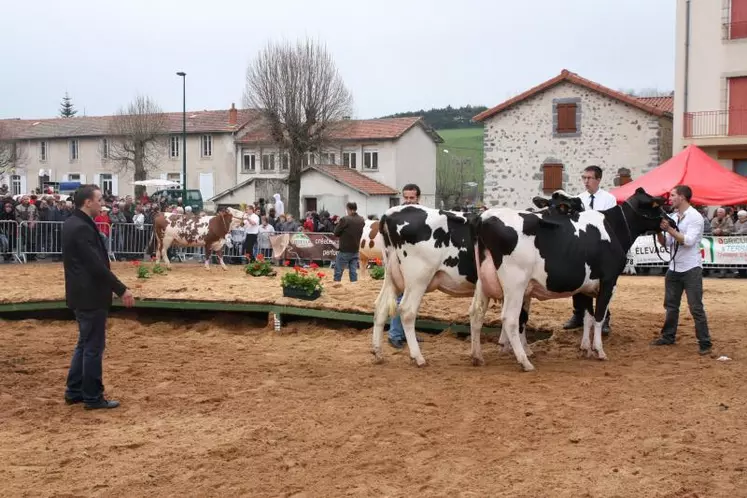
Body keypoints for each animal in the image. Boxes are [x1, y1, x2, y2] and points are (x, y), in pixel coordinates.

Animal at [372, 190, 588, 366]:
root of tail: (390, 213)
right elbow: (520, 318)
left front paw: (507, 346)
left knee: (381, 307)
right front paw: (523, 351)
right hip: (418, 278)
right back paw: (418, 357)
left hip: (392, 276)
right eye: (569, 207)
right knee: (407, 311)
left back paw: (378, 352)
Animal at [470, 187, 668, 370]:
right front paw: (599, 350)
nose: (671, 221)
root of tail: (484, 217)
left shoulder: (587, 286)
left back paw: (477, 356)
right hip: (515, 284)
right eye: (656, 206)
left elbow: (588, 317)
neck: (613, 227)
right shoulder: (609, 280)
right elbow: (599, 316)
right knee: (510, 319)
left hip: (483, 282)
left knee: (476, 313)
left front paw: (586, 349)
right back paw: (524, 362)